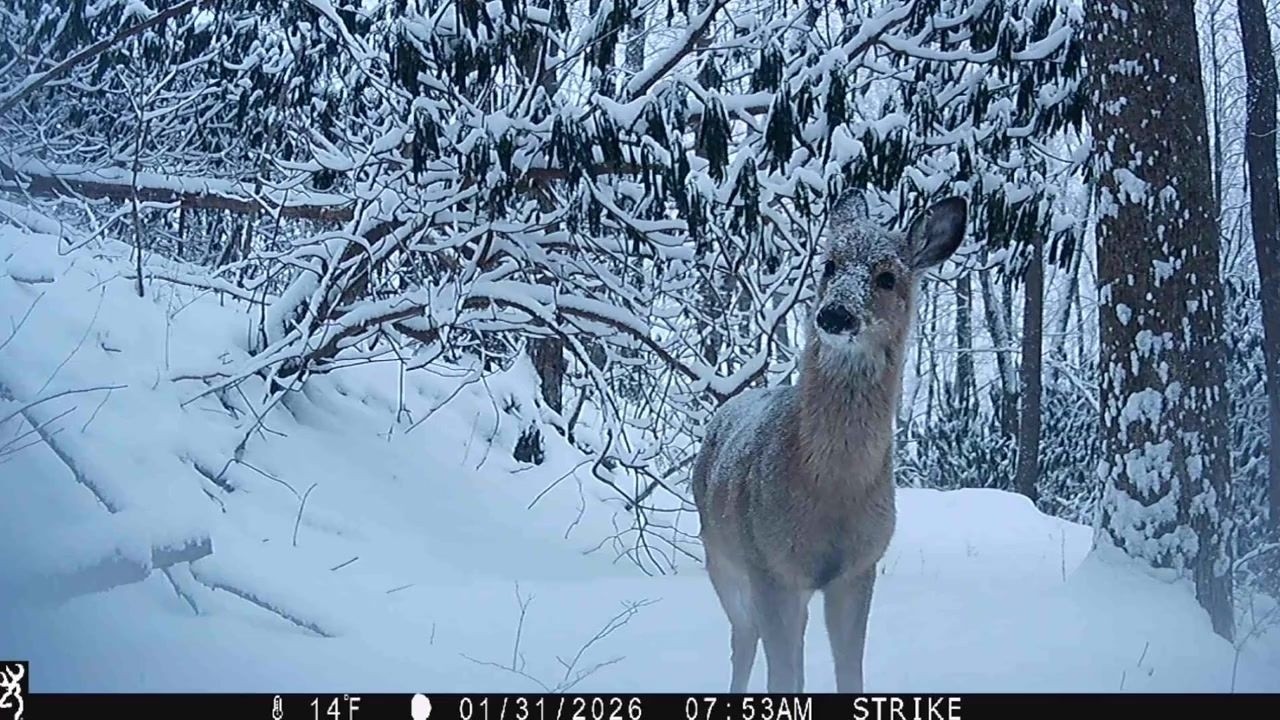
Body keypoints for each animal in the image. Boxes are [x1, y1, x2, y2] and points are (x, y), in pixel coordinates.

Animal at [690, 191, 968, 694]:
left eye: (887, 276)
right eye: (829, 265)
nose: (835, 314)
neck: (832, 489)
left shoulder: (858, 568)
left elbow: (849, 672)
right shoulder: (769, 564)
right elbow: (783, 676)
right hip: (720, 554)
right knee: (744, 637)